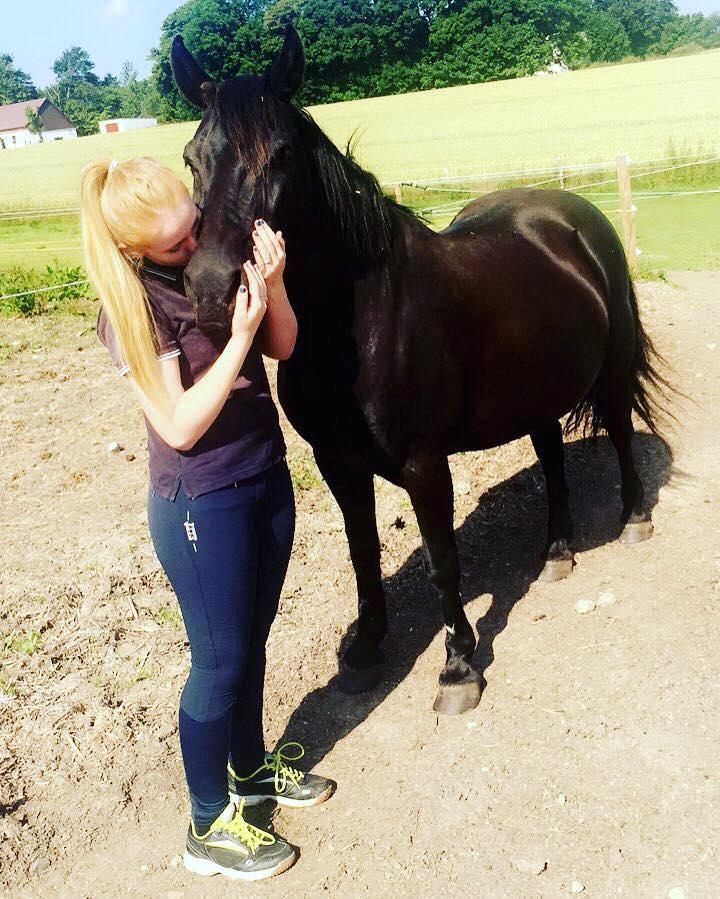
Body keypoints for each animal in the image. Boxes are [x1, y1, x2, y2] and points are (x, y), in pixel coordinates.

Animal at [170, 25, 669, 715]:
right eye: (192, 158)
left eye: (279, 155)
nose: (213, 292)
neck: (357, 322)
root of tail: (576, 216)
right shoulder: (337, 462)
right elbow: (362, 554)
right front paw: (365, 651)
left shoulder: (423, 464)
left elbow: (442, 562)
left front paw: (459, 667)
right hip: (536, 390)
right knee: (551, 457)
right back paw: (556, 552)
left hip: (614, 369)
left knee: (620, 430)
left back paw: (634, 519)